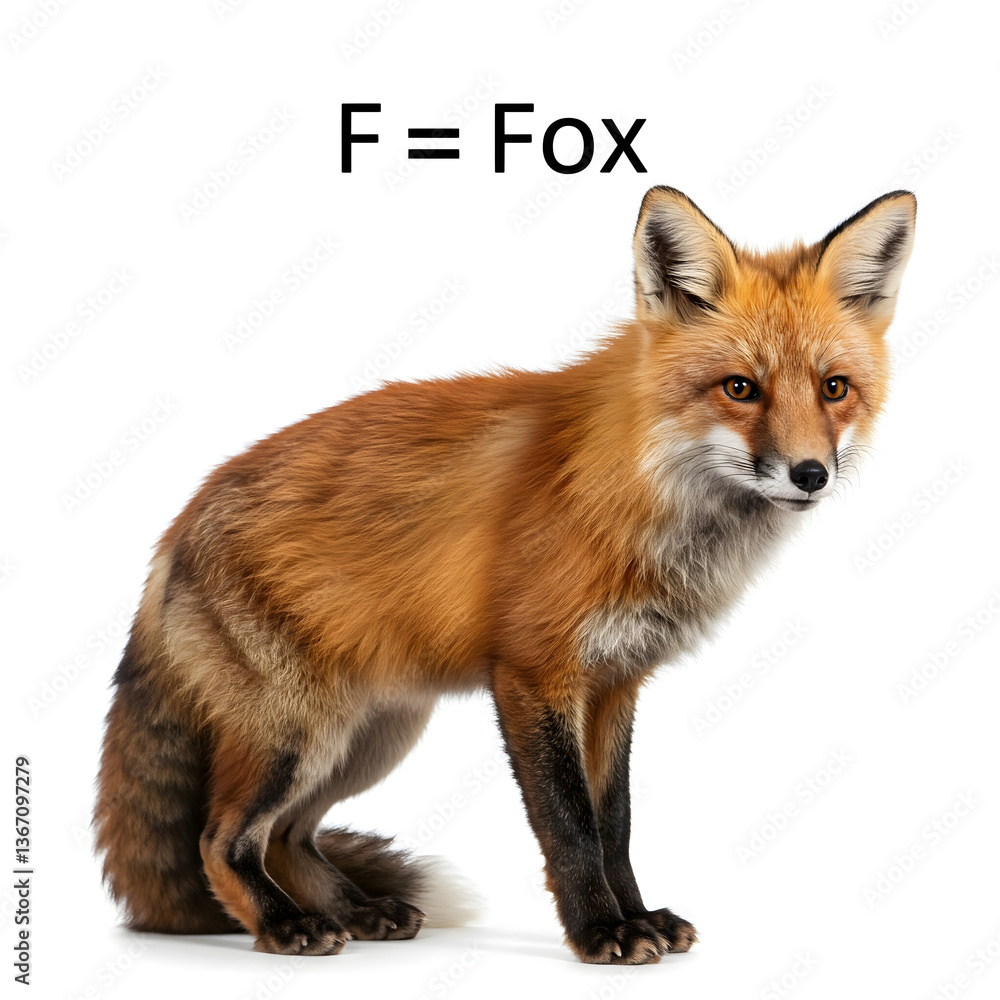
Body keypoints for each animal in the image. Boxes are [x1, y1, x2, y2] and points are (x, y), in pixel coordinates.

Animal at [95, 185, 916, 965]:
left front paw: (637, 916)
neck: (639, 490)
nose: (810, 474)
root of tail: (176, 527)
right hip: (297, 736)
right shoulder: (533, 673)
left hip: (371, 738)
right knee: (220, 839)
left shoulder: (615, 683)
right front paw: (600, 932)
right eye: (740, 388)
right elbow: (570, 828)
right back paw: (284, 925)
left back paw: (355, 912)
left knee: (291, 837)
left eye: (835, 388)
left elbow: (615, 824)